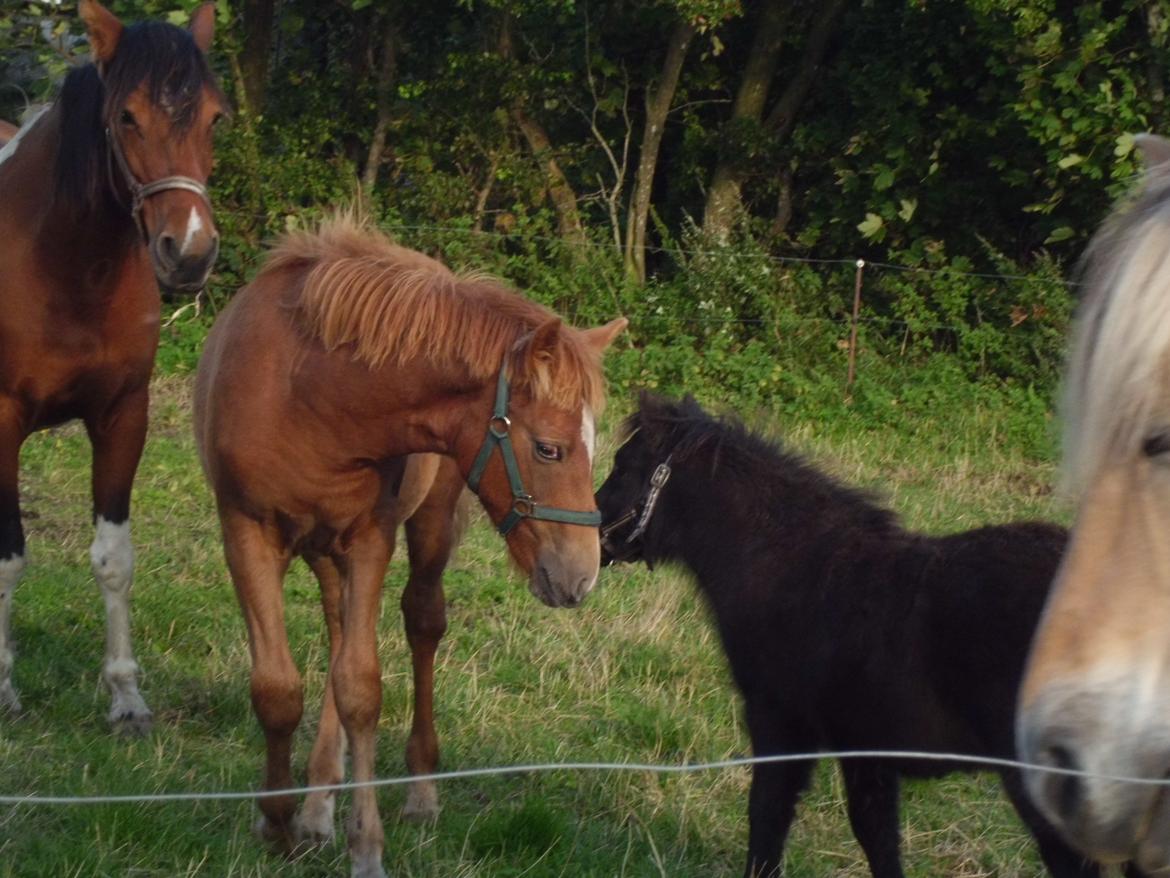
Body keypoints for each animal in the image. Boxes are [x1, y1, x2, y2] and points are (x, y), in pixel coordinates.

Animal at [0, 0, 223, 735]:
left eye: (215, 117)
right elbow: (9, 559)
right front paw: (4, 688)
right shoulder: (1, 421)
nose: (189, 251)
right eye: (127, 116)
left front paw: (126, 697)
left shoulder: (125, 414)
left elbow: (114, 560)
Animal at [196, 215, 627, 878]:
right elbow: (278, 688)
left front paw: (365, 846)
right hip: (323, 550)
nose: (582, 574)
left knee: (421, 620)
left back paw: (419, 790)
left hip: (427, 522)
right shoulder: (245, 533)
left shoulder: (370, 539)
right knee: (337, 630)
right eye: (549, 448)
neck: (308, 394)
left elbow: (360, 689)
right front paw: (276, 821)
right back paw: (318, 803)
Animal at [599, 398, 1137, 878]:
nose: (592, 534)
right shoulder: (865, 748)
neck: (791, 564)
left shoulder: (780, 721)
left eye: (623, 466)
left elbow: (768, 817)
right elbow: (878, 838)